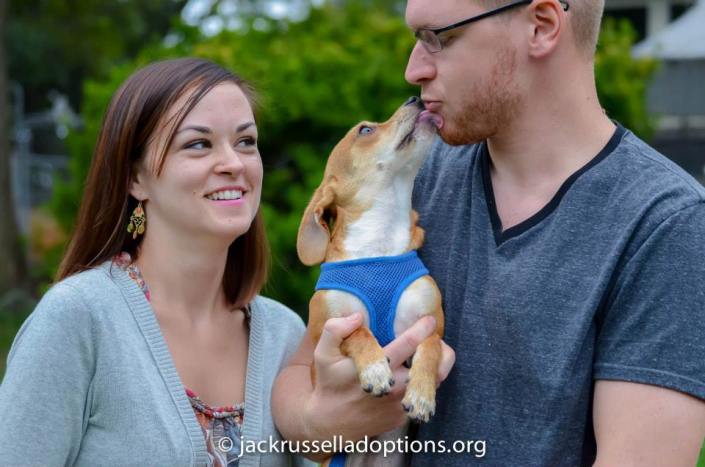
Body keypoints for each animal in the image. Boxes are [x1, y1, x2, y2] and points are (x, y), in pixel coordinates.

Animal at [296, 97, 446, 466]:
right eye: (365, 130)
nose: (415, 98)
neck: (379, 242)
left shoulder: (432, 323)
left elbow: (431, 347)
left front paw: (422, 394)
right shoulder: (326, 327)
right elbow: (359, 332)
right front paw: (376, 368)